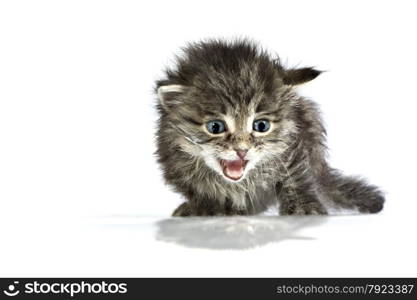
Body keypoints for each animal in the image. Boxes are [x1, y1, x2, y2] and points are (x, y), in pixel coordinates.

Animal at [154, 39, 384, 216]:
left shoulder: (295, 145)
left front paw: (303, 209)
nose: (242, 150)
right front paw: (206, 207)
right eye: (215, 127)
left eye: (261, 125)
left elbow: (295, 177)